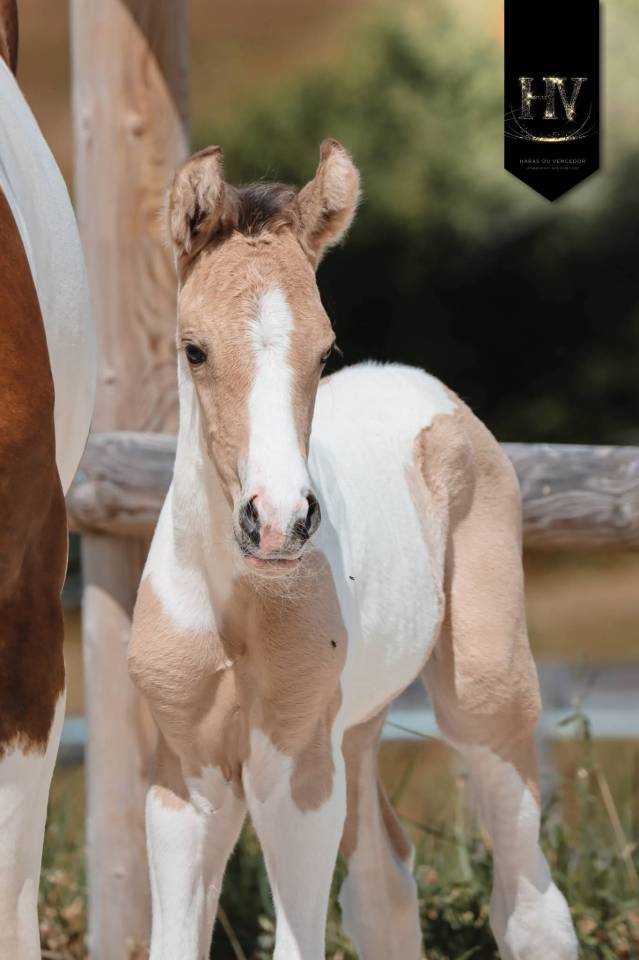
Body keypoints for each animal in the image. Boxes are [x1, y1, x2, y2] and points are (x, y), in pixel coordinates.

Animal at [129, 140, 577, 960]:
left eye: (323, 348)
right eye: (194, 350)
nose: (278, 522)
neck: (233, 601)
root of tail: (429, 388)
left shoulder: (295, 771)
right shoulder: (186, 778)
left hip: (484, 696)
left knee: (530, 909)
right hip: (357, 728)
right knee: (382, 890)